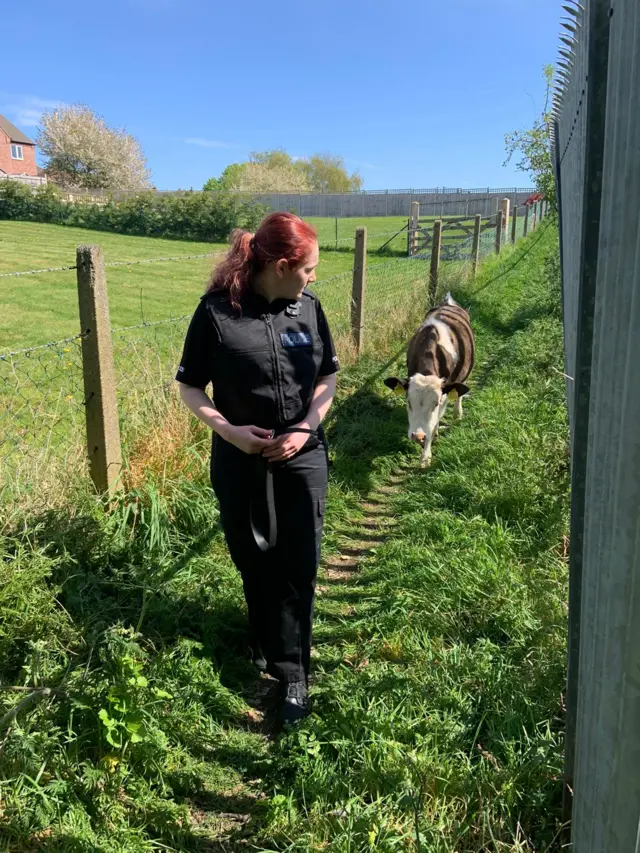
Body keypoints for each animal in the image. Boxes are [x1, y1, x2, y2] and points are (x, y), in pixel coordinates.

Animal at [382, 292, 472, 466]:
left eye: (435, 403)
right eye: (409, 402)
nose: (418, 436)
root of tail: (448, 301)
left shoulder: (444, 394)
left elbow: (433, 423)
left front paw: (425, 456)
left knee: (460, 391)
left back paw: (457, 413)